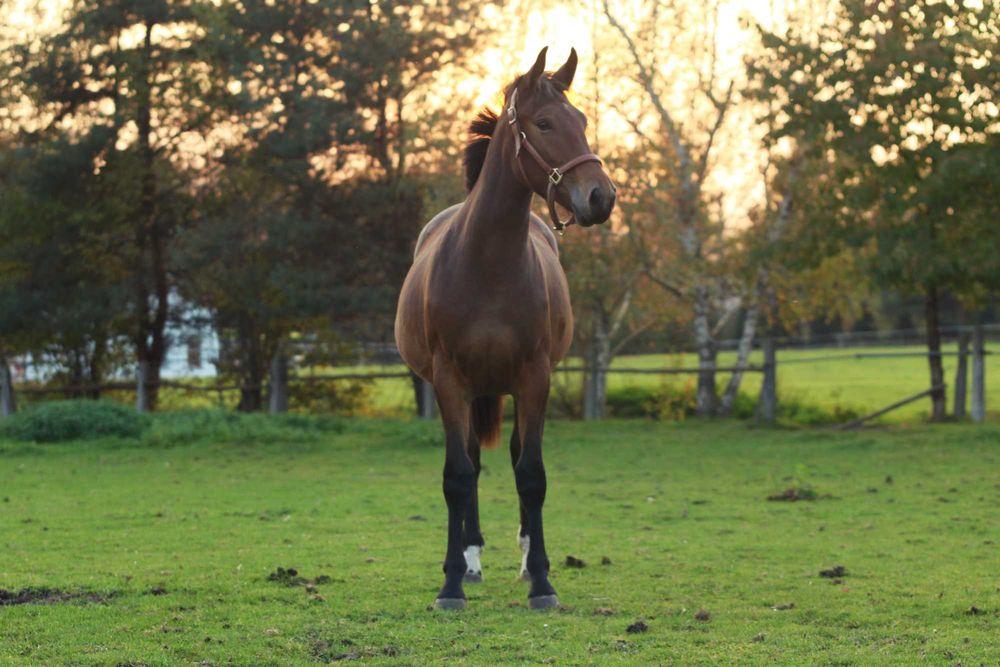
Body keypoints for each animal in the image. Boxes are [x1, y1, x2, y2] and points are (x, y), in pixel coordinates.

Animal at [392, 48, 612, 612]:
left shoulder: (535, 378)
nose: (601, 197)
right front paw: (450, 583)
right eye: (544, 123)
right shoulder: (449, 380)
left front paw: (542, 582)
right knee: (470, 460)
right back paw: (470, 562)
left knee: (513, 456)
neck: (487, 265)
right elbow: (457, 476)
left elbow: (531, 475)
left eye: (582, 121)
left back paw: (525, 557)